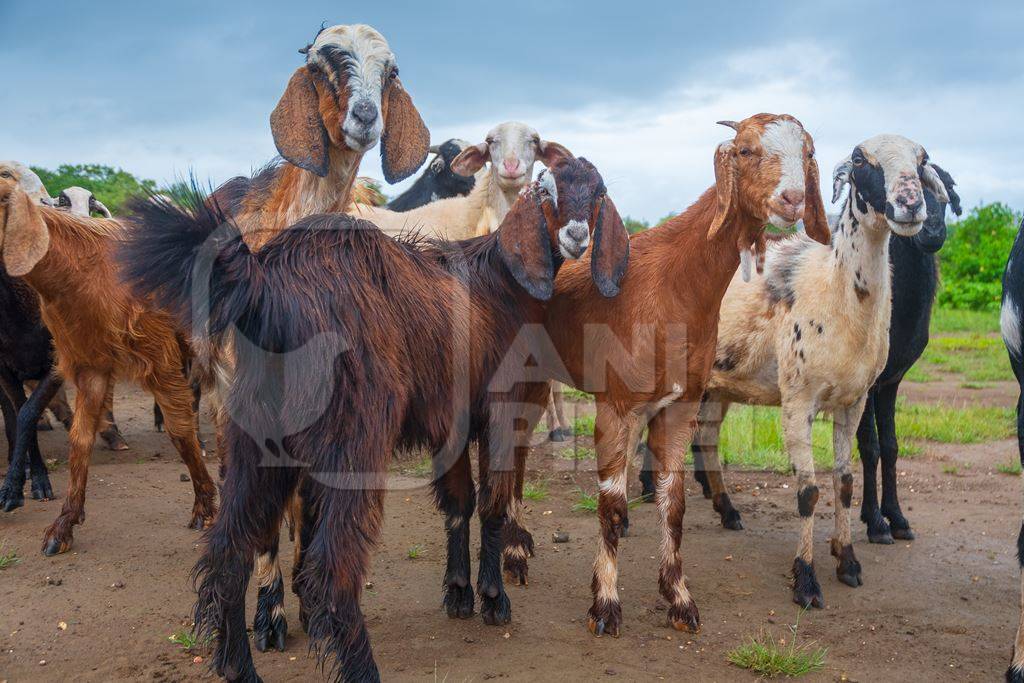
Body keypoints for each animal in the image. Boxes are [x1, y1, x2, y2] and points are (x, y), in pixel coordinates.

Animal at [0, 178, 220, 557]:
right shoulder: (91, 364)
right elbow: (79, 439)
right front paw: (63, 525)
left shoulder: (159, 354)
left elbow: (181, 432)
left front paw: (205, 508)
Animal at [121, 154, 630, 683]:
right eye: (545, 190)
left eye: (598, 194)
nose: (576, 235)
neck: (501, 285)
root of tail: (270, 284)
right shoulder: (502, 410)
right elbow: (492, 502)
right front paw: (493, 598)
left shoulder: (449, 423)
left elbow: (458, 503)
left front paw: (459, 592)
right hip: (355, 437)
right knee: (329, 571)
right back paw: (359, 668)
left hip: (255, 438)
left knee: (226, 554)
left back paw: (240, 667)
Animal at [505, 114, 831, 638]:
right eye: (745, 150)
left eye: (808, 153)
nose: (792, 199)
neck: (672, 285)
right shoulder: (615, 404)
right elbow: (611, 506)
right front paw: (606, 605)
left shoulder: (681, 405)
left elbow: (672, 502)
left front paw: (678, 598)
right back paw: (513, 553)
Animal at [675, 133, 954, 610]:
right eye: (860, 160)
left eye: (923, 161)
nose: (911, 205)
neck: (836, 292)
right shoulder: (797, 401)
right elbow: (808, 492)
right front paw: (806, 580)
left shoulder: (856, 399)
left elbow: (845, 481)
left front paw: (848, 559)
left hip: (717, 382)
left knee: (705, 437)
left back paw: (727, 511)